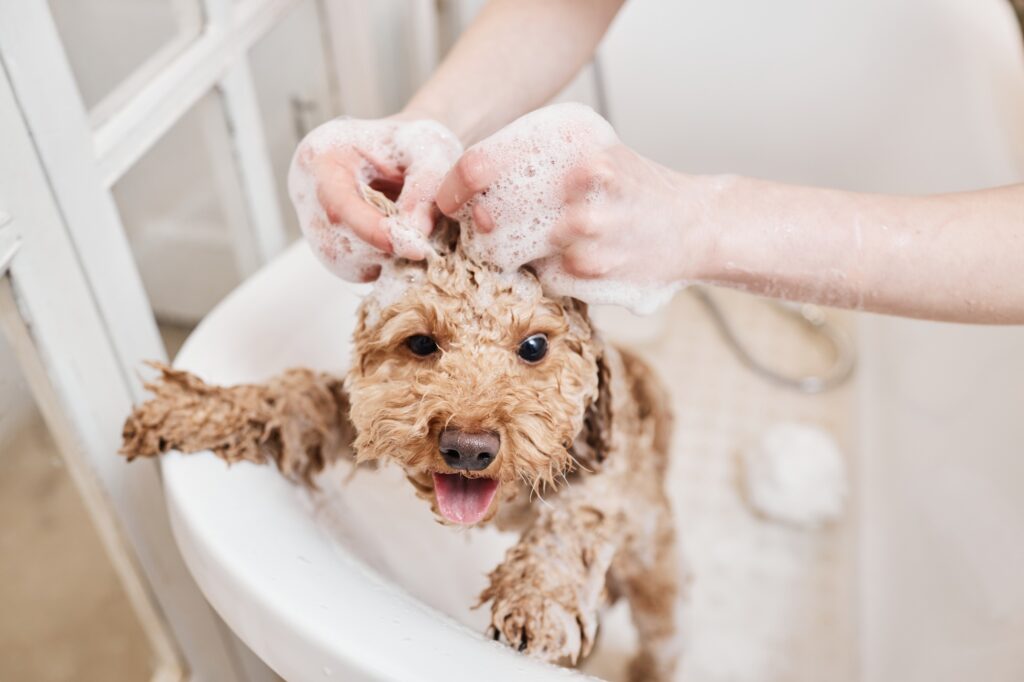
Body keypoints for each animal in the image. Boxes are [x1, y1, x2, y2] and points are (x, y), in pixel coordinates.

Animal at [121, 220, 688, 675]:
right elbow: (297, 397)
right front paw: (197, 409)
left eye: (534, 346)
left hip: (654, 568)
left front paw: (538, 599)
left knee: (662, 636)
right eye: (420, 343)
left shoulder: (604, 471)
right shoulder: (361, 416)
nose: (468, 448)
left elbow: (572, 521)